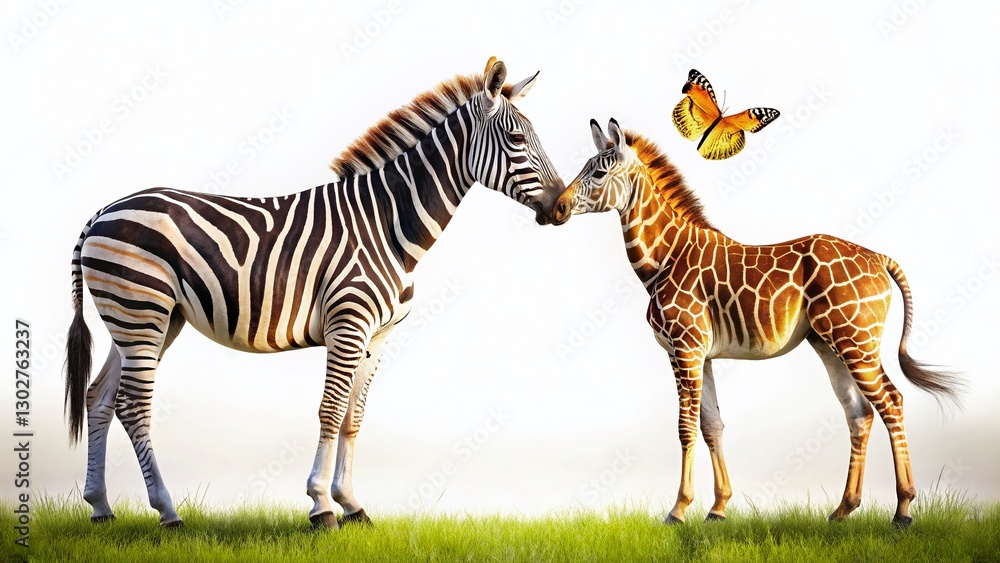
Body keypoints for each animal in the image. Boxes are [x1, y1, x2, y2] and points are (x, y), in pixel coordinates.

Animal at [64, 57, 573, 529]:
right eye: (515, 140)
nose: (564, 206)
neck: (388, 225)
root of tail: (103, 211)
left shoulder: (377, 336)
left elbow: (353, 417)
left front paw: (353, 505)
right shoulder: (348, 322)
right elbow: (330, 411)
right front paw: (321, 506)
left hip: (147, 319)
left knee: (100, 398)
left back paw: (101, 507)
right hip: (141, 311)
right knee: (134, 404)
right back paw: (168, 511)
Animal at [565, 118, 961, 527]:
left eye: (598, 173)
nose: (558, 206)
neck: (664, 260)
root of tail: (880, 258)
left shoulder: (684, 348)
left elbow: (685, 427)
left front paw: (678, 509)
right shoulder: (703, 354)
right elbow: (712, 425)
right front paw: (718, 507)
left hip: (857, 341)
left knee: (891, 402)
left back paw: (903, 509)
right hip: (829, 343)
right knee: (859, 412)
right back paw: (843, 509)